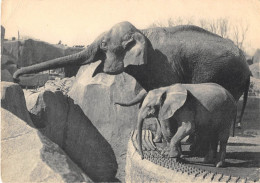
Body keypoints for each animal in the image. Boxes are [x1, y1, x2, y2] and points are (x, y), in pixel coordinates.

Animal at [13, 21, 251, 124]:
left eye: (103, 44)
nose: (16, 77)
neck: (142, 31)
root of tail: (248, 69)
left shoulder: (165, 66)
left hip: (227, 75)